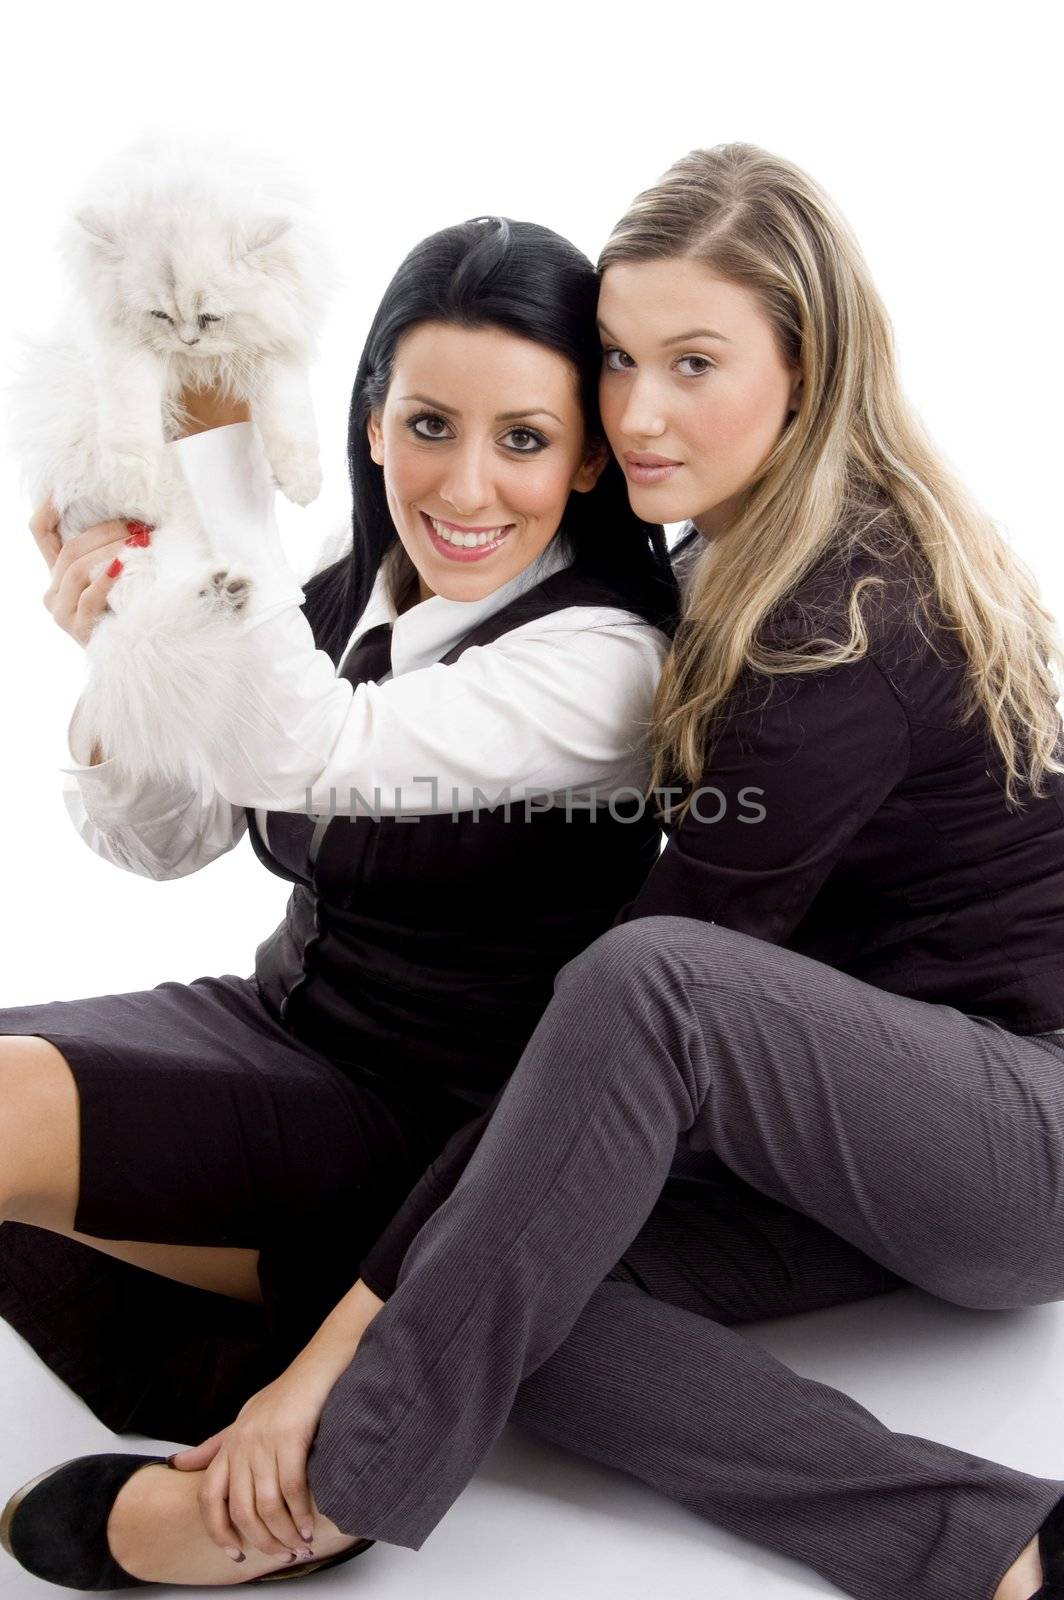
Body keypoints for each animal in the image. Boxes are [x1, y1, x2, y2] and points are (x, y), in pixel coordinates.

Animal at [7, 129, 332, 787]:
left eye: (210, 316)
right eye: (161, 314)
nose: (188, 340)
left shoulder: (273, 351)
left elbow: (289, 415)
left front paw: (300, 479)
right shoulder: (128, 350)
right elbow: (130, 414)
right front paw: (135, 469)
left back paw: (221, 596)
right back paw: (212, 592)